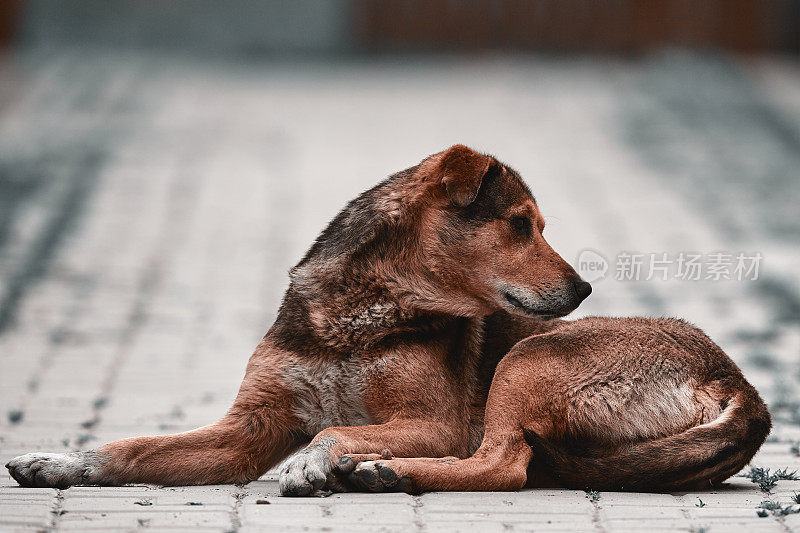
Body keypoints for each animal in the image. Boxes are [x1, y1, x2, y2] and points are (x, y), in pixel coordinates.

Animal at [4, 145, 768, 494]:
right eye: (521, 225)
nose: (583, 286)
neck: (358, 313)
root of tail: (742, 387)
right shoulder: (247, 429)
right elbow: (131, 448)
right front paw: (60, 460)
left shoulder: (434, 423)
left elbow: (336, 428)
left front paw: (319, 460)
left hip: (530, 359)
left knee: (503, 464)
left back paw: (385, 472)